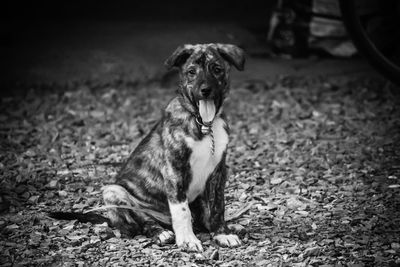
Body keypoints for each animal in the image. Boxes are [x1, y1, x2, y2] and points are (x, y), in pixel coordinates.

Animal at [50, 43, 244, 252]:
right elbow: (181, 210)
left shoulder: (218, 171)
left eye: (217, 69)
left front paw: (222, 233)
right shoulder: (174, 171)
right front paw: (187, 239)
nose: (205, 90)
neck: (203, 124)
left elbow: (217, 206)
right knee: (140, 222)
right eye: (191, 72)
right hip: (114, 191)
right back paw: (161, 232)